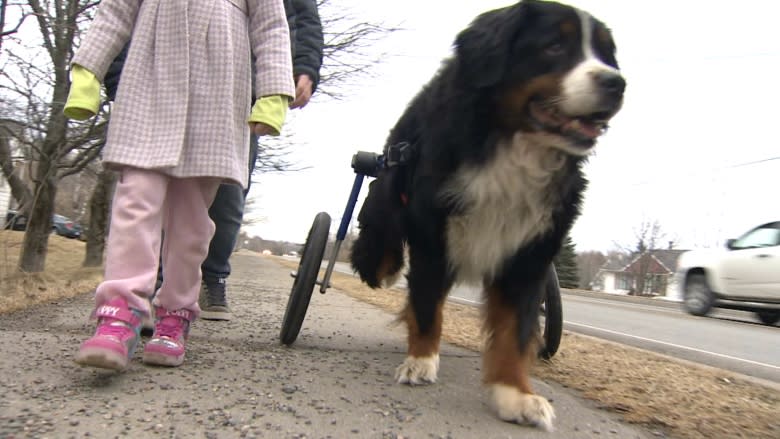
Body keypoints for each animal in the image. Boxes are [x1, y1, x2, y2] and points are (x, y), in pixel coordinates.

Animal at [350, 0, 624, 432]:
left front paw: (515, 394)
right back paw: (388, 268)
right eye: (554, 46)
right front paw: (420, 361)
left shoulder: (528, 254)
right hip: (387, 198)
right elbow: (426, 306)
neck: (510, 147)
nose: (616, 83)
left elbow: (515, 330)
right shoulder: (434, 240)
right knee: (377, 249)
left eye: (605, 54)